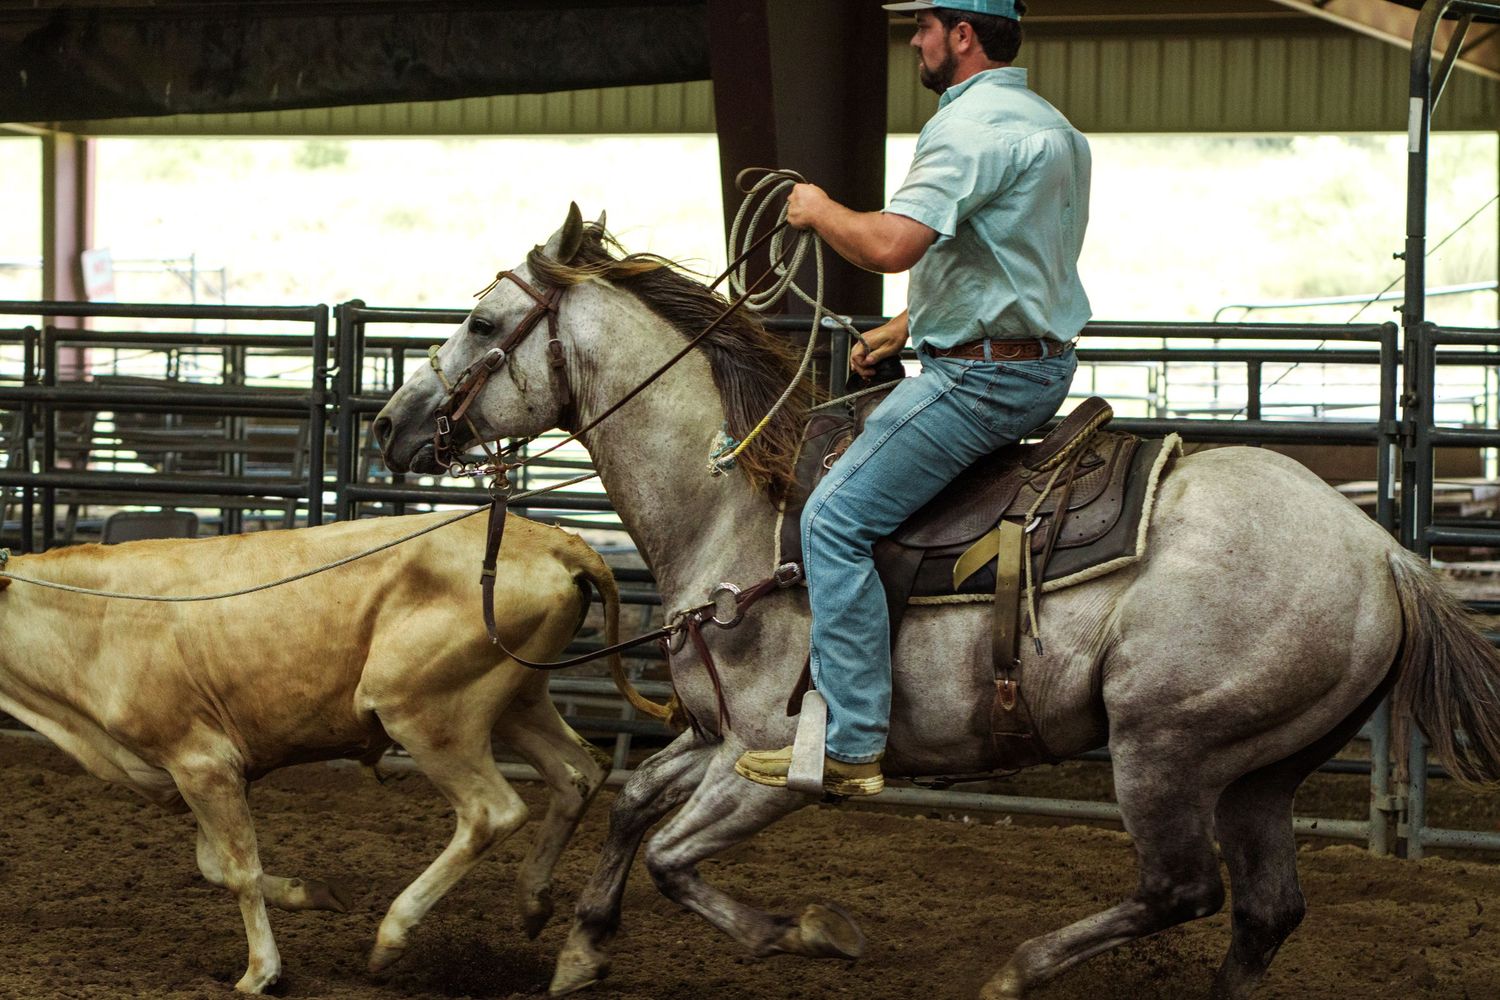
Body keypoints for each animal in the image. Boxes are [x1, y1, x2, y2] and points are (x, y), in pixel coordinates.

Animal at [0, 509, 652, 993]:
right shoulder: (199, 772)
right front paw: (314, 894)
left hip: (426, 710)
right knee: (580, 773)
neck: (97, 619)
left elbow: (237, 869)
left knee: (492, 811)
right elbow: (218, 866)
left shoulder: (203, 762)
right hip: (521, 699)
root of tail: (555, 541)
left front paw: (260, 973)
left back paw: (393, 935)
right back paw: (536, 904)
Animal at [373, 206, 1500, 999]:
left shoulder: (772, 766)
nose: (389, 424)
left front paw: (808, 933)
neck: (735, 503)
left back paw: (1015, 969)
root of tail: (1386, 553)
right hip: (1264, 768)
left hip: (1166, 746)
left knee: (1182, 888)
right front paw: (575, 945)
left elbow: (671, 857)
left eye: (482, 321)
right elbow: (634, 803)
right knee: (1264, 912)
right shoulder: (714, 734)